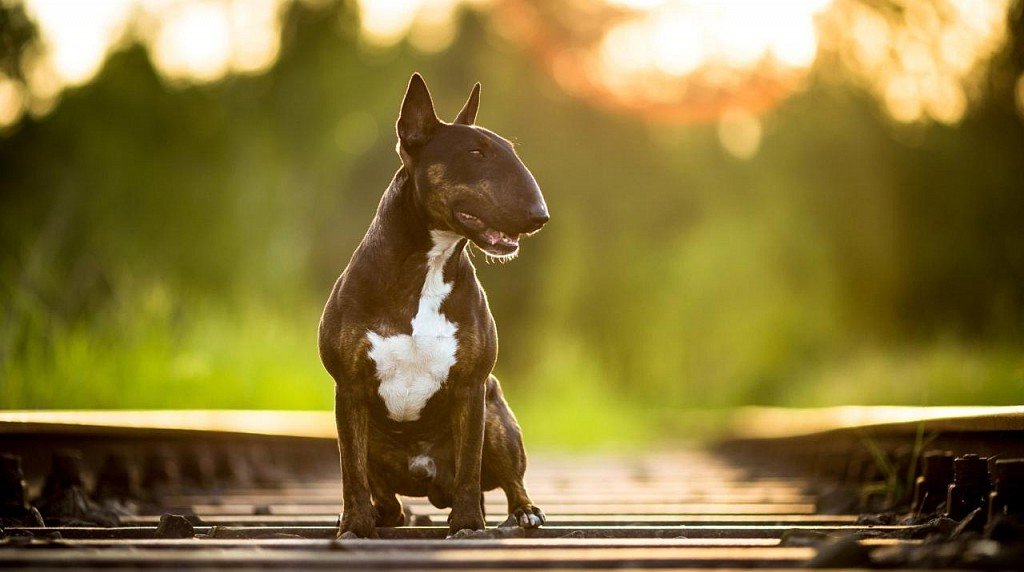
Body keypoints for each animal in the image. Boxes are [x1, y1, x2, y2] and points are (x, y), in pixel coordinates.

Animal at [317, 73, 548, 540]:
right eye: (476, 153)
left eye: (512, 152)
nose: (540, 215)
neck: (428, 267)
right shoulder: (348, 389)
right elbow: (350, 470)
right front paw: (355, 526)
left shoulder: (471, 388)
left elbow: (469, 466)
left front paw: (468, 525)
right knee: (386, 498)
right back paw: (376, 515)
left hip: (498, 417)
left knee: (508, 478)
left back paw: (523, 512)